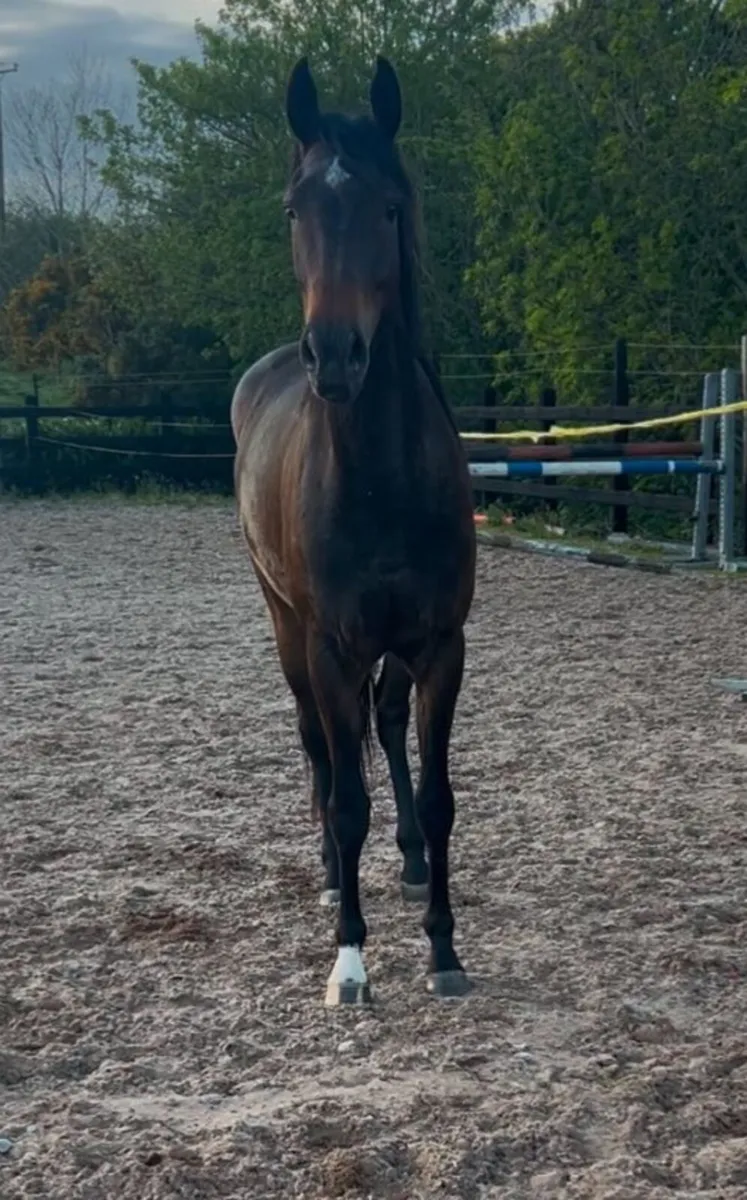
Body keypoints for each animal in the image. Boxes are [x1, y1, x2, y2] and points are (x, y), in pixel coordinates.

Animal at [231, 55, 476, 1005]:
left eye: (389, 207)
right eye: (294, 209)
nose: (334, 356)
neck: (377, 480)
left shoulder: (441, 644)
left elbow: (438, 794)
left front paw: (443, 948)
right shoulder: (332, 648)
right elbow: (344, 801)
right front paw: (350, 961)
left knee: (385, 726)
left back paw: (404, 864)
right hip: (287, 629)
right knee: (320, 751)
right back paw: (336, 877)